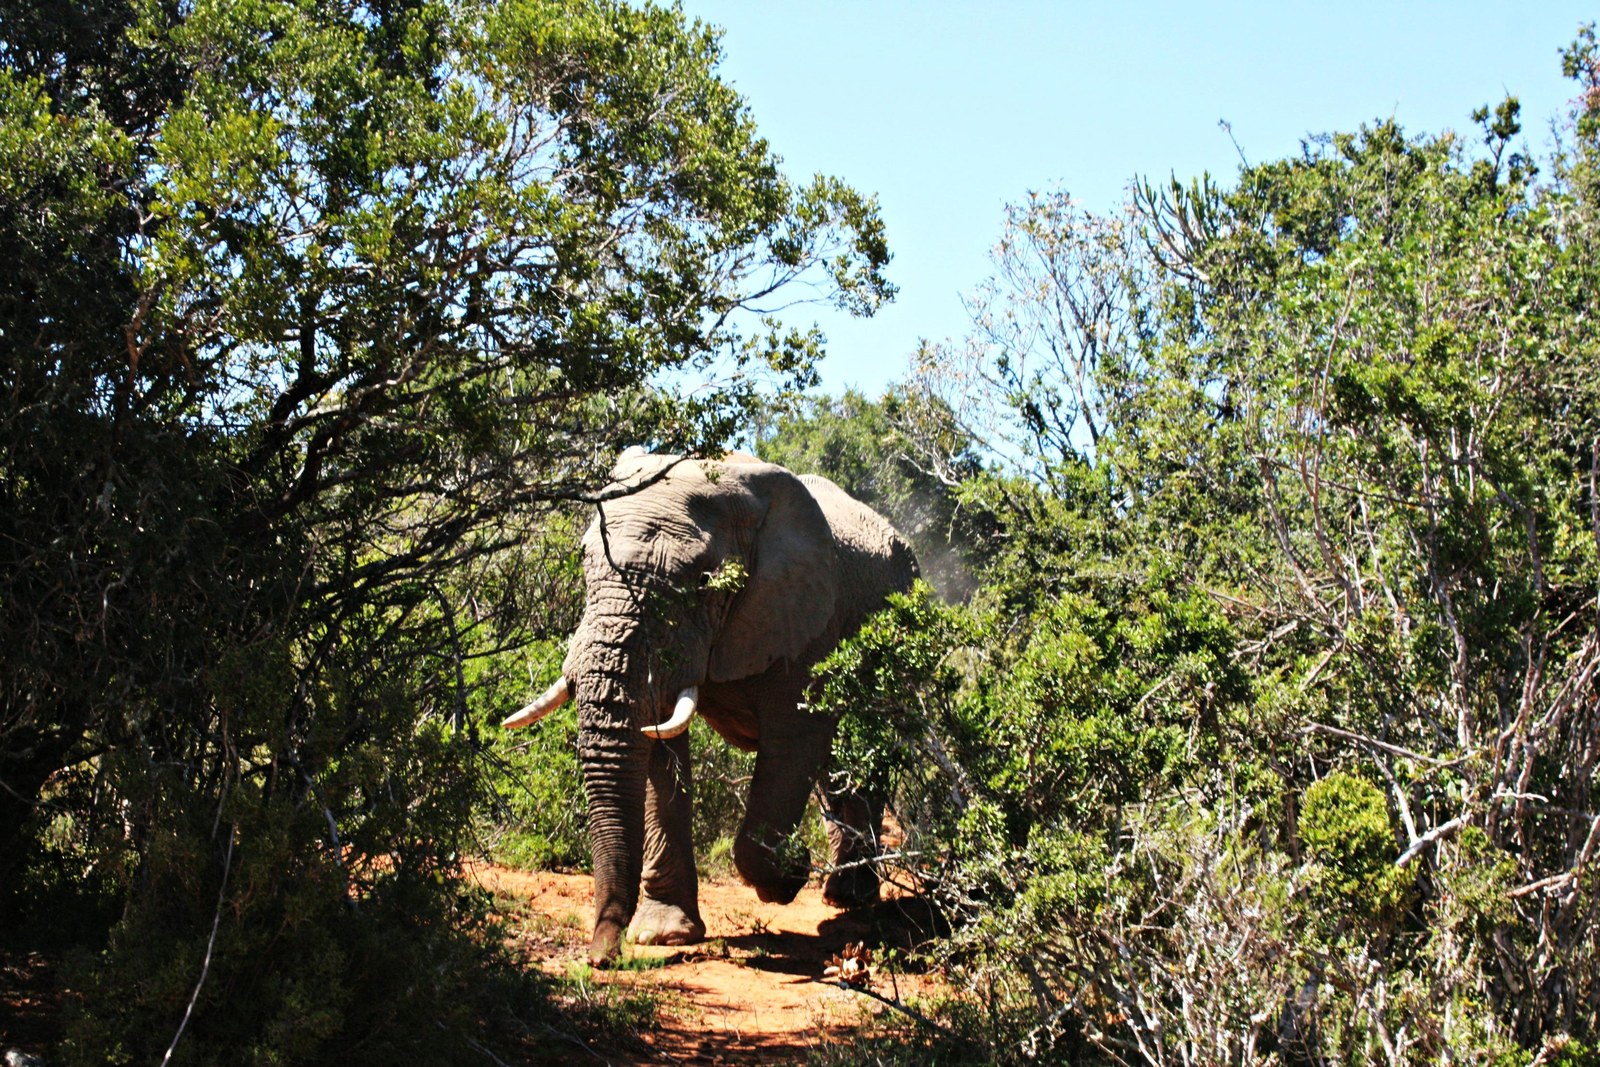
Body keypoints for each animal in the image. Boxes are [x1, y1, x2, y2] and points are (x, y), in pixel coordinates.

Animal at [503, 448, 918, 963]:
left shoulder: (805, 620)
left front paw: (789, 876)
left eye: (703, 581)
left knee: (866, 755)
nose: (601, 957)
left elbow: (795, 738)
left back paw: (850, 898)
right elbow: (661, 744)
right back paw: (838, 895)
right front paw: (663, 936)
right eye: (584, 560)